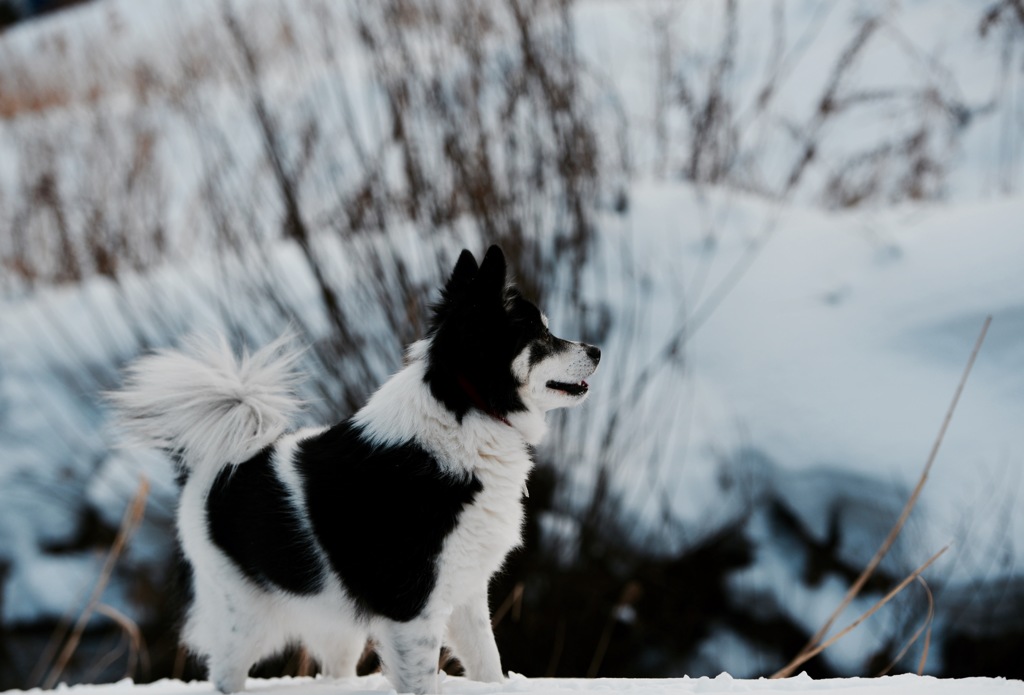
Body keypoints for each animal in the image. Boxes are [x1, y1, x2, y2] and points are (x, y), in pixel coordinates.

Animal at [114, 247, 598, 691]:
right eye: (540, 334)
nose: (595, 349)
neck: (466, 410)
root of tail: (210, 467)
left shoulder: (465, 592)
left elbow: (488, 665)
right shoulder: (410, 608)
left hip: (332, 625)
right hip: (244, 619)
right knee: (225, 676)